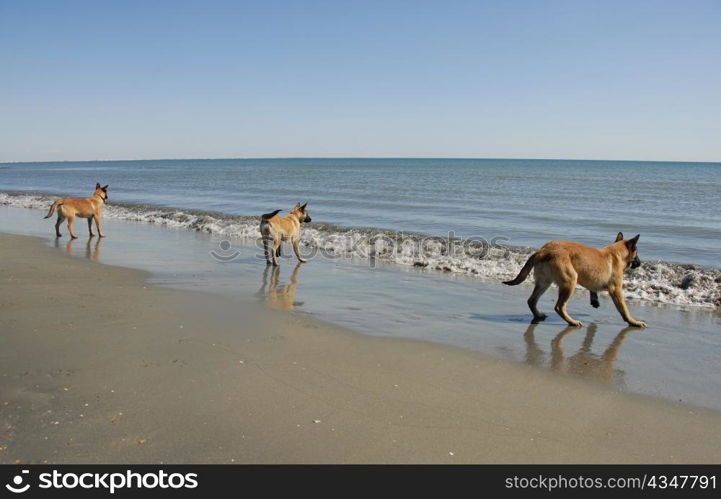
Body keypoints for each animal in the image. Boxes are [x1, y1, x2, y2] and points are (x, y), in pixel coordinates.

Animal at [504, 233, 644, 328]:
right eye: (637, 253)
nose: (640, 263)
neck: (616, 253)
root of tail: (544, 251)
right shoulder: (616, 290)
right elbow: (624, 309)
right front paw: (633, 321)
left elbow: (592, 288)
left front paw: (594, 300)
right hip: (570, 281)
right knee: (559, 307)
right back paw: (572, 321)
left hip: (544, 282)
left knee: (532, 301)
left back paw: (538, 315)